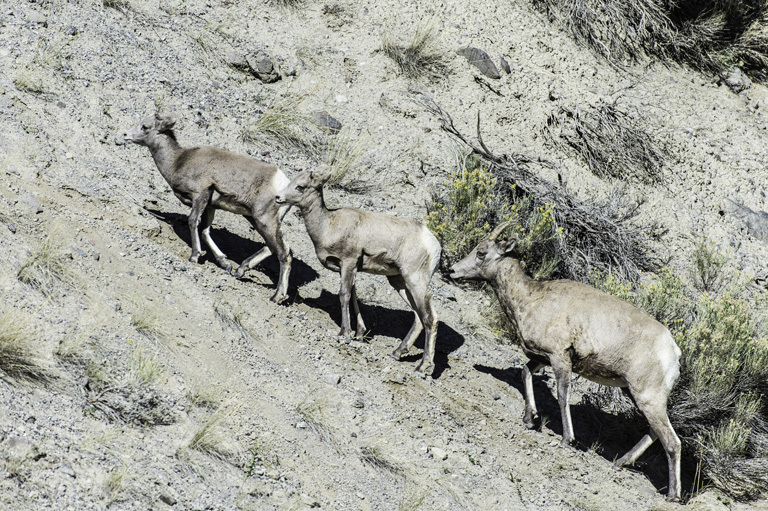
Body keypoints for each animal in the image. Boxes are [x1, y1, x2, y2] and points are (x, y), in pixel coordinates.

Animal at [124, 113, 292, 304]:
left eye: (145, 127)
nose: (125, 135)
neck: (177, 161)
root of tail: (284, 184)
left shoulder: (200, 195)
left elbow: (192, 222)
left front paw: (194, 256)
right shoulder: (210, 206)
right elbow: (205, 231)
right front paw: (225, 263)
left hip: (264, 220)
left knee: (284, 254)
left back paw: (277, 296)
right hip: (258, 220)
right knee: (274, 247)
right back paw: (239, 270)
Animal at [276, 170, 444, 374]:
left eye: (300, 186)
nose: (278, 198)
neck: (328, 225)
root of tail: (434, 245)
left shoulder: (348, 263)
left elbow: (344, 296)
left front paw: (345, 333)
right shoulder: (349, 269)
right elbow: (353, 298)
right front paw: (359, 333)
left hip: (415, 281)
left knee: (430, 319)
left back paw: (422, 366)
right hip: (399, 282)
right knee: (418, 316)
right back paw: (397, 353)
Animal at [450, 222, 684, 502]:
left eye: (481, 253)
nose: (452, 270)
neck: (532, 299)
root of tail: (673, 352)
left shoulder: (560, 358)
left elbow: (562, 396)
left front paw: (566, 439)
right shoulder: (541, 358)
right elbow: (525, 373)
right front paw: (530, 419)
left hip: (648, 397)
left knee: (672, 442)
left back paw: (672, 495)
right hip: (637, 395)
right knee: (654, 432)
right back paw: (619, 463)